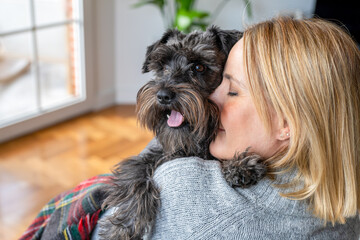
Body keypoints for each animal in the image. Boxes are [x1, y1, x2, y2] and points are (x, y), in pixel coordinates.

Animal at [98, 26, 268, 240]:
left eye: (199, 67)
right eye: (163, 66)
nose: (163, 95)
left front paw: (240, 166)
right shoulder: (150, 157)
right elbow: (134, 180)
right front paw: (123, 227)